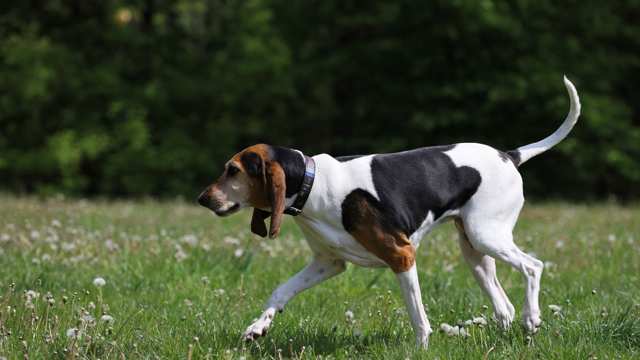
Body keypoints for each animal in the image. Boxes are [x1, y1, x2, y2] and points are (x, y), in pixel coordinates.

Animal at [199, 76, 580, 348]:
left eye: (233, 170)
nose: (203, 199)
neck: (313, 182)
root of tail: (509, 155)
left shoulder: (402, 255)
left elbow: (418, 316)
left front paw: (421, 348)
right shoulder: (328, 263)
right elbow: (280, 291)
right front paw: (257, 327)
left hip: (487, 236)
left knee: (533, 267)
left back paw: (532, 317)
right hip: (475, 251)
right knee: (504, 307)